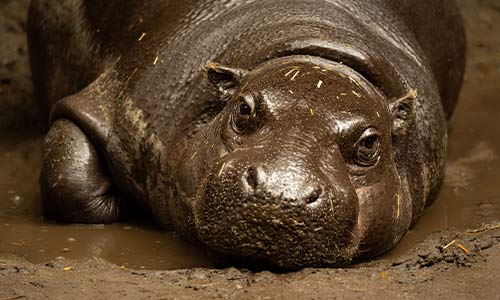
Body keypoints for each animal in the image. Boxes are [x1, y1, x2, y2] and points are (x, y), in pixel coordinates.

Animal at [27, 0, 464, 270]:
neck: (319, 49)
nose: (280, 192)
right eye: (243, 109)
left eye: (370, 142)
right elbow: (68, 174)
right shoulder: (118, 105)